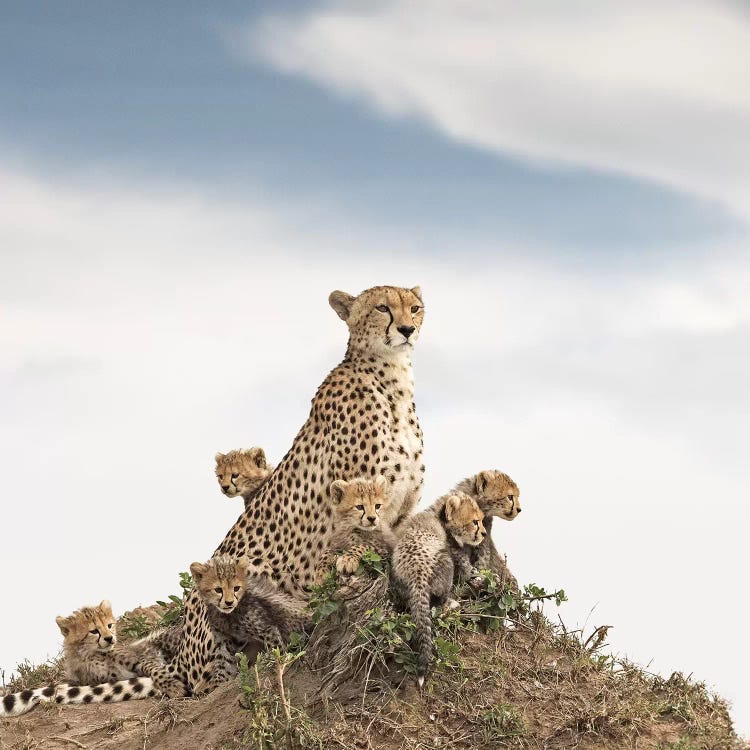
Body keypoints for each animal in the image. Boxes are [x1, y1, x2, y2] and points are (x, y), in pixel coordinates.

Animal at [173, 286, 426, 692]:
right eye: (382, 308)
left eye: (415, 308)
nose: (406, 329)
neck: (393, 379)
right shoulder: (355, 501)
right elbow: (352, 542)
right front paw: (349, 562)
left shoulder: (399, 510)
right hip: (250, 574)